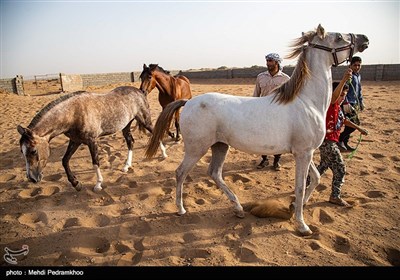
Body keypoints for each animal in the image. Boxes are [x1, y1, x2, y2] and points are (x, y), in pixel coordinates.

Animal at [17, 87, 166, 192]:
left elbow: (95, 162)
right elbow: (65, 160)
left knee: (155, 134)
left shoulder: (92, 141)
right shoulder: (75, 141)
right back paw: (126, 166)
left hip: (144, 120)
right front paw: (76, 184)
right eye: (22, 151)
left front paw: (98, 185)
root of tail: (139, 91)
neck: (74, 113)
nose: (32, 178)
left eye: (33, 151)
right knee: (131, 142)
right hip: (126, 126)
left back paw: (164, 155)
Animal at [145, 24, 368, 235]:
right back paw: (181, 209)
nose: (364, 39)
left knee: (215, 173)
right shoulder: (303, 153)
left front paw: (295, 206)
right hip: (196, 148)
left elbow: (315, 179)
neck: (307, 102)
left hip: (220, 146)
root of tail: (188, 102)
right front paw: (302, 225)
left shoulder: (306, 152)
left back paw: (238, 208)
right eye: (338, 36)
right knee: (181, 172)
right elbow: (300, 186)